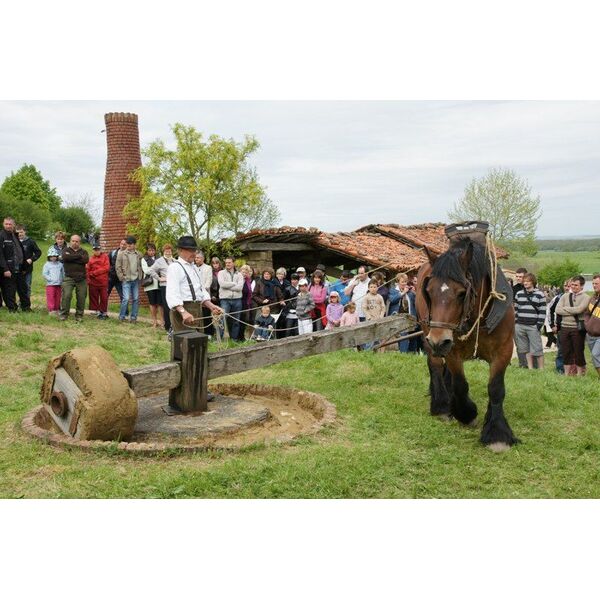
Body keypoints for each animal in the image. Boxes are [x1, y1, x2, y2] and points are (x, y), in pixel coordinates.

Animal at [415, 237, 519, 451]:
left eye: (462, 293)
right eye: (429, 291)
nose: (438, 341)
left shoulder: (504, 350)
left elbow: (496, 388)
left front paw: (497, 432)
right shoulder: (451, 350)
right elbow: (460, 385)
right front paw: (466, 413)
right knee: (435, 365)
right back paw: (441, 405)